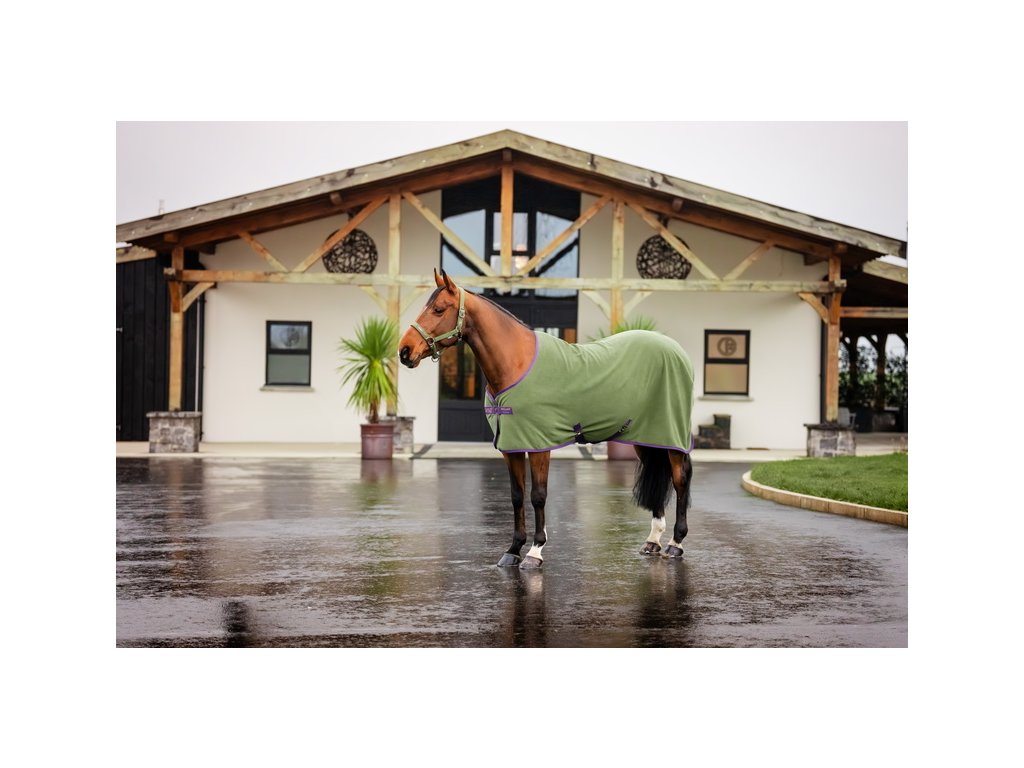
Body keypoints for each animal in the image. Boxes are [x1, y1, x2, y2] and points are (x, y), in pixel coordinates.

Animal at [399, 269, 695, 569]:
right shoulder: (511, 447)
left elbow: (538, 496)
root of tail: (676, 350)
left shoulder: (539, 445)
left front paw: (535, 551)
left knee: (680, 478)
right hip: (646, 436)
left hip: (671, 436)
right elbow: (517, 496)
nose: (404, 351)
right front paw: (513, 550)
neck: (515, 364)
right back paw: (653, 541)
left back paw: (675, 543)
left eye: (438, 309)